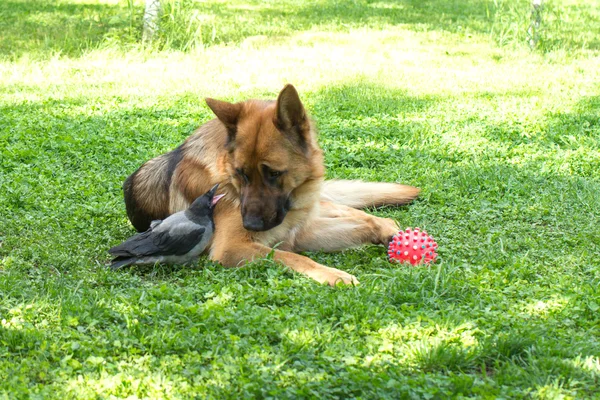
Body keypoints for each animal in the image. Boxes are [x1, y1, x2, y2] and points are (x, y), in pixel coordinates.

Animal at [124, 83, 420, 284]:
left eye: (274, 174)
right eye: (241, 173)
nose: (251, 225)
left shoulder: (296, 231)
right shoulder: (237, 246)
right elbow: (294, 256)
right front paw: (333, 275)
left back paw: (385, 224)